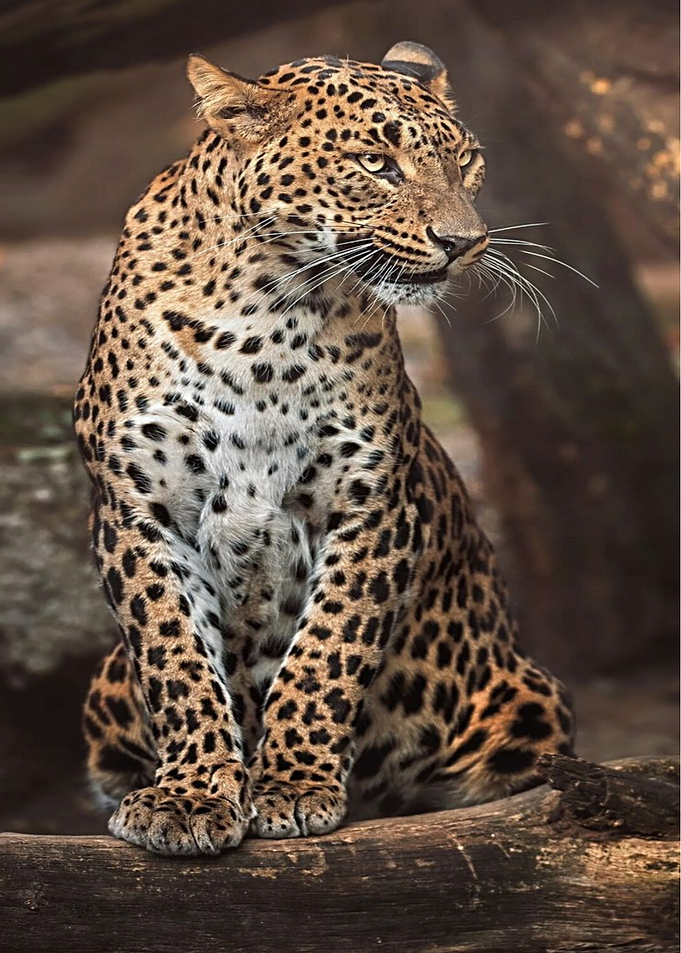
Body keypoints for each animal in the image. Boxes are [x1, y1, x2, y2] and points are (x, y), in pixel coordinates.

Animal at [75, 41, 574, 856]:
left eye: (466, 162)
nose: (465, 244)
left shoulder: (371, 508)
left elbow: (324, 653)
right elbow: (177, 658)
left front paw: (291, 785)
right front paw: (189, 795)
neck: (264, 316)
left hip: (529, 694)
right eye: (376, 163)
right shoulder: (137, 510)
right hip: (104, 689)